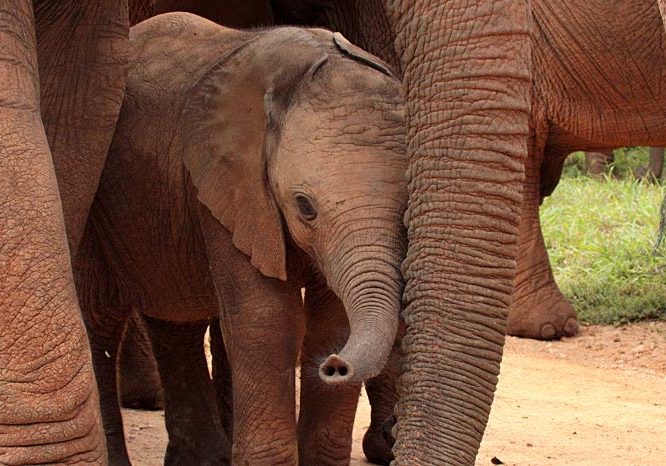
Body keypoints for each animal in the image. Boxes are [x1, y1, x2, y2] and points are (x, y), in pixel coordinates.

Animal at [78, 11, 408, 466]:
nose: (335, 367)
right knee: (100, 316)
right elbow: (266, 322)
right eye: (305, 207)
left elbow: (331, 322)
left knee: (177, 317)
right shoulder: (229, 183)